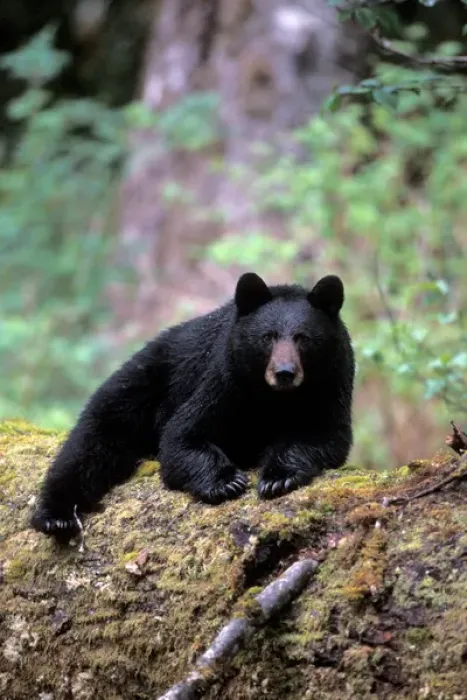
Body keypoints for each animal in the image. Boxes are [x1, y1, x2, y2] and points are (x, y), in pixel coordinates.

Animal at [31, 271, 355, 541]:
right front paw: (226, 482)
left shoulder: (331, 385)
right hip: (141, 385)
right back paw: (56, 516)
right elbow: (183, 436)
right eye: (268, 337)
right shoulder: (224, 381)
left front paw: (278, 478)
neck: (274, 397)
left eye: (303, 338)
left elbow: (323, 435)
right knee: (90, 443)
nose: (285, 373)